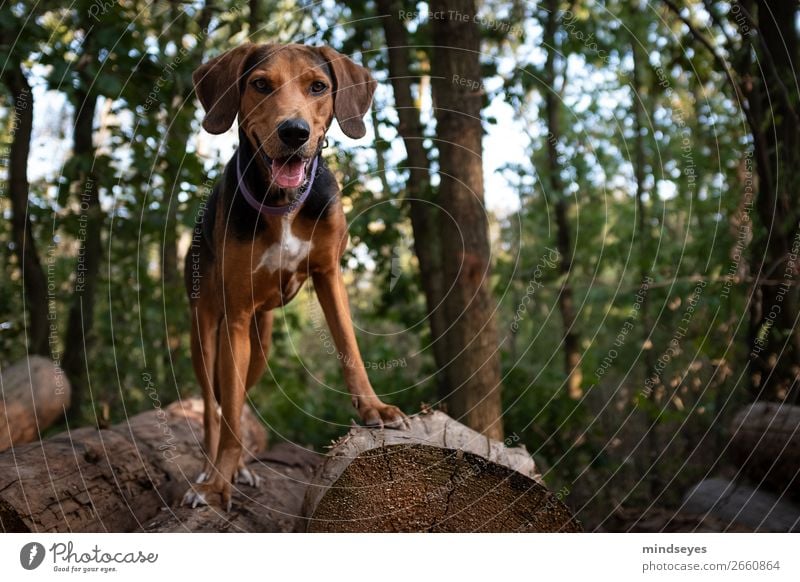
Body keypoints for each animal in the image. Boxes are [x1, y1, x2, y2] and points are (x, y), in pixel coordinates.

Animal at [182, 44, 406, 512]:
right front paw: (217, 485)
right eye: (260, 84)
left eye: (318, 87)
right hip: (205, 328)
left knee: (237, 399)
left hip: (261, 342)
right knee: (213, 409)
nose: (294, 133)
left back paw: (239, 467)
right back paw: (212, 470)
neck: (283, 201)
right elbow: (226, 415)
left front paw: (374, 409)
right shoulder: (232, 317)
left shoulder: (329, 275)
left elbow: (350, 347)